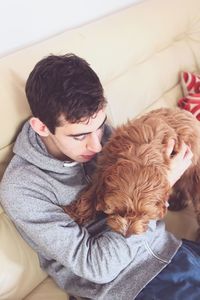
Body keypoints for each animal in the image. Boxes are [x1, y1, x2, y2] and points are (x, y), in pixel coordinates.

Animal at [63, 108, 200, 237]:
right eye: (120, 211)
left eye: (144, 214)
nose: (127, 234)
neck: (139, 155)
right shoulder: (103, 168)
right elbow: (92, 192)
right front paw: (75, 213)